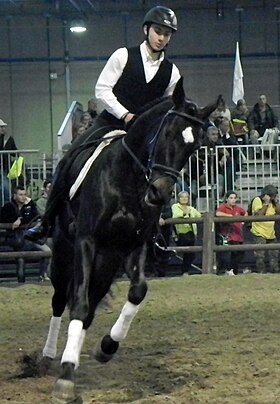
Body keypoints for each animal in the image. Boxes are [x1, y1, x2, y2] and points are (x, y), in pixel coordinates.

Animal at [41, 78, 217, 400]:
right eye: (167, 133)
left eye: (194, 146)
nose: (159, 192)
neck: (127, 179)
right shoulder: (86, 240)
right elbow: (78, 303)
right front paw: (66, 376)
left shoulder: (133, 246)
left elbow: (137, 292)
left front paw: (107, 347)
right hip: (63, 252)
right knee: (61, 300)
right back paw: (48, 357)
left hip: (106, 265)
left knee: (90, 306)